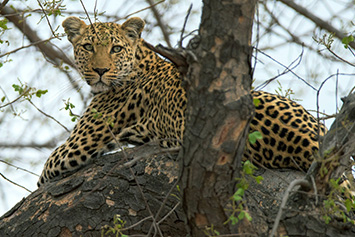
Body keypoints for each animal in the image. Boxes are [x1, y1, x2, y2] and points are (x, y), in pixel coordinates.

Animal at [37, 16, 330, 187]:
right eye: (88, 47)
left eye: (115, 49)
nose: (100, 70)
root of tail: (308, 142)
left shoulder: (76, 146)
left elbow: (44, 173)